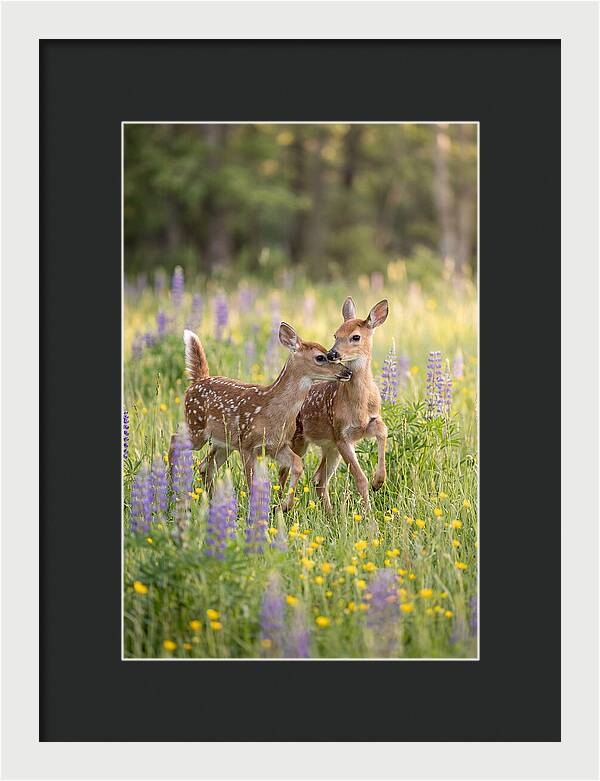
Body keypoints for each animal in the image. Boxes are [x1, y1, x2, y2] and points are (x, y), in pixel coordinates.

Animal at [172, 322, 352, 511]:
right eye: (320, 357)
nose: (347, 372)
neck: (272, 411)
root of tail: (197, 381)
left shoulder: (277, 445)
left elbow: (297, 464)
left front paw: (284, 506)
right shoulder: (247, 445)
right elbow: (252, 483)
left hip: (223, 443)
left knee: (204, 467)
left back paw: (211, 502)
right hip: (196, 427)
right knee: (175, 439)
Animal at [279, 297, 389, 513]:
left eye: (355, 337)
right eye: (335, 335)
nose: (332, 353)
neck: (359, 405)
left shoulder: (368, 423)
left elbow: (383, 431)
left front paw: (378, 481)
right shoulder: (341, 434)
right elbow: (360, 478)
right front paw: (369, 514)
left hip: (329, 447)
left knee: (319, 479)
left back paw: (329, 514)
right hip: (299, 440)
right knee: (285, 472)